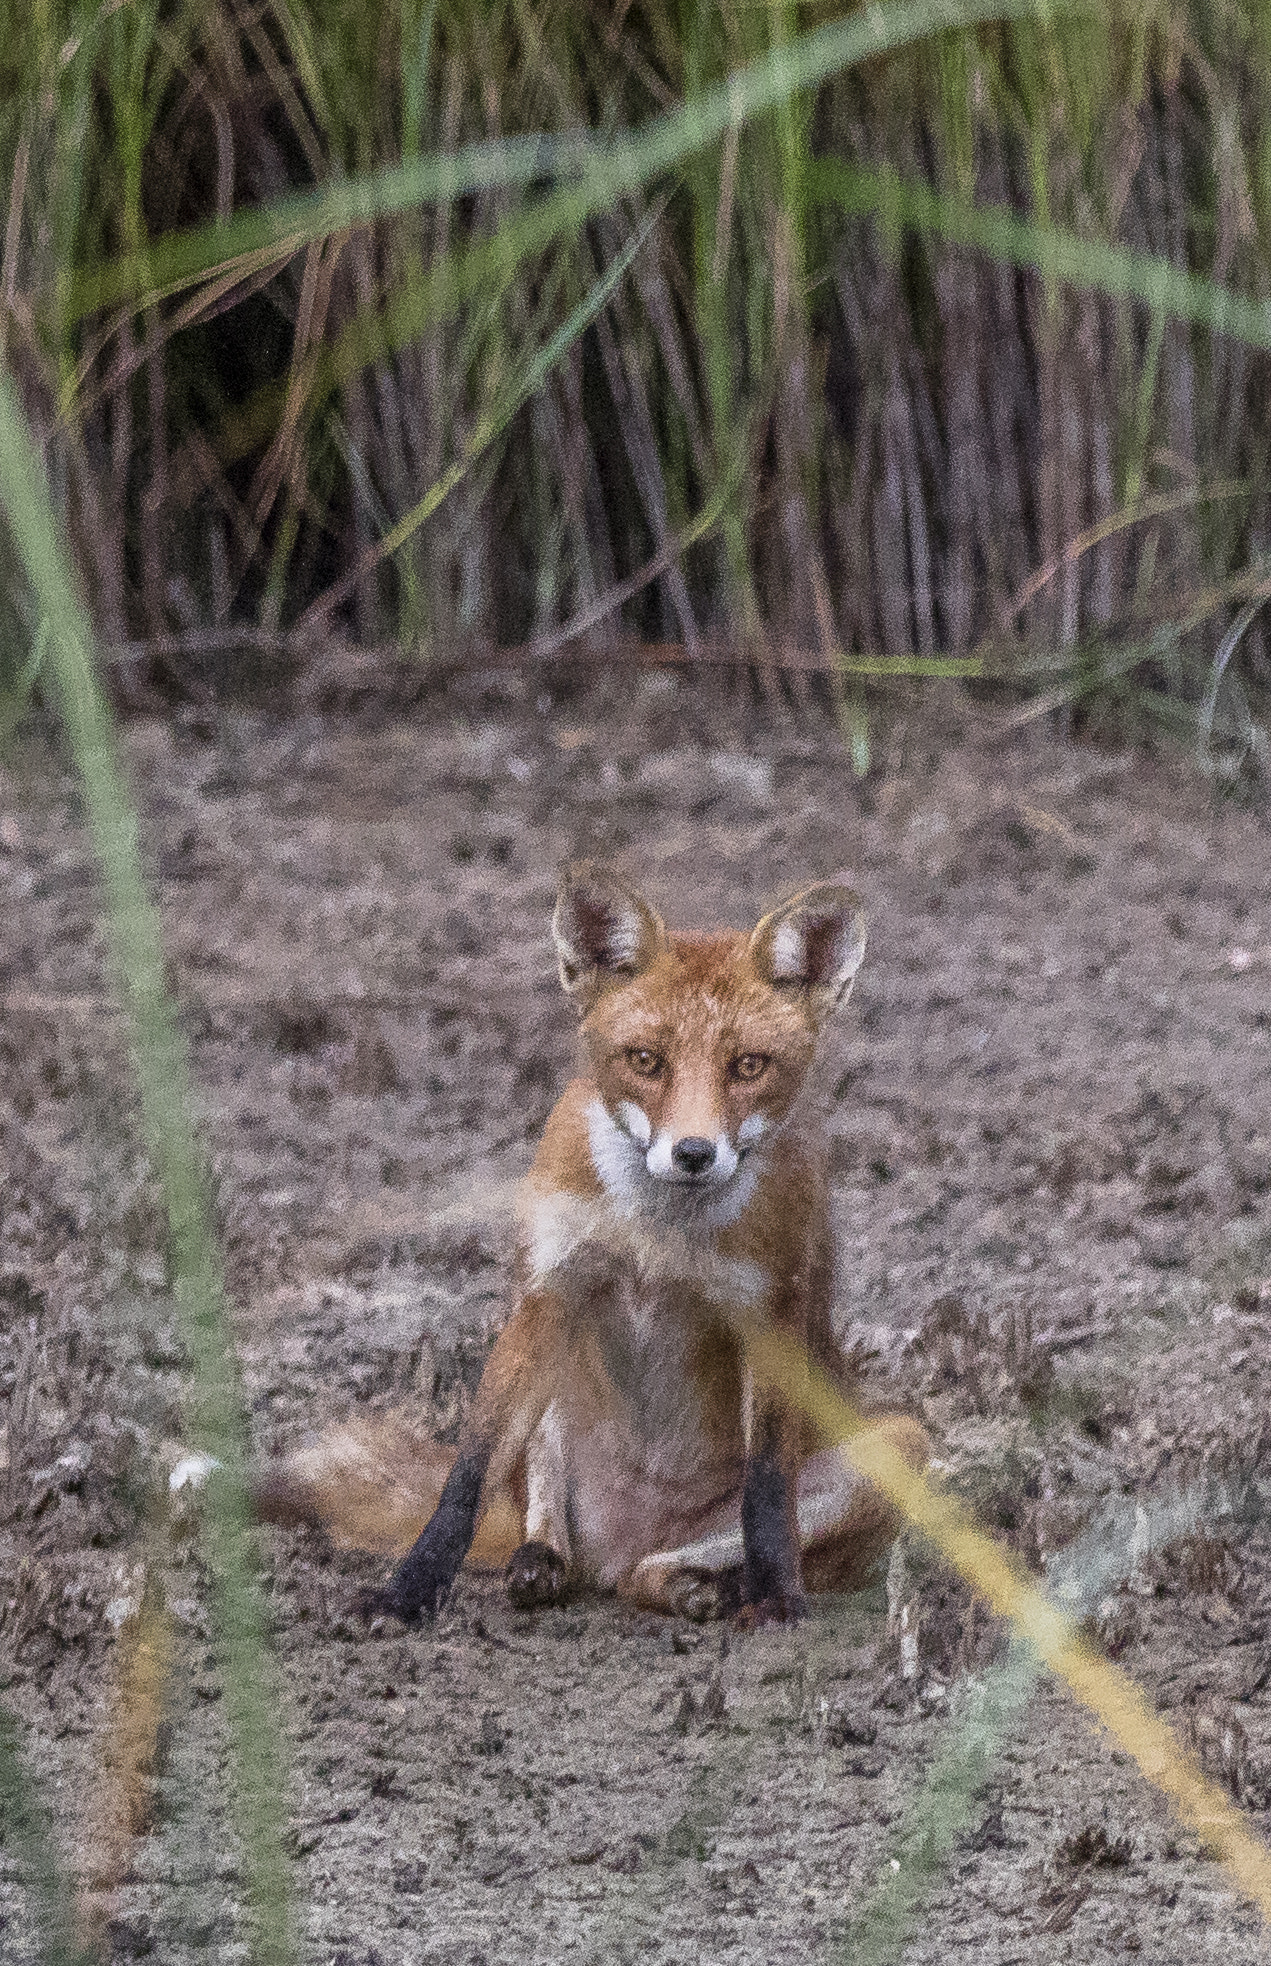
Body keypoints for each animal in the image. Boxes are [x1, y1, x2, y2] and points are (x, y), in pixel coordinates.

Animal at [259, 865, 932, 1627]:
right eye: (645, 1061)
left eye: (748, 1066)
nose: (693, 1153)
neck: (656, 1234)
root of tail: (619, 1547)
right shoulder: (551, 1290)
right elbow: (465, 1479)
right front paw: (409, 1591)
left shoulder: (772, 1316)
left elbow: (767, 1495)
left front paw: (777, 1597)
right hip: (546, 1367)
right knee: (550, 1527)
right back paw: (540, 1564)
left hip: (902, 1445)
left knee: (657, 1572)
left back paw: (703, 1587)